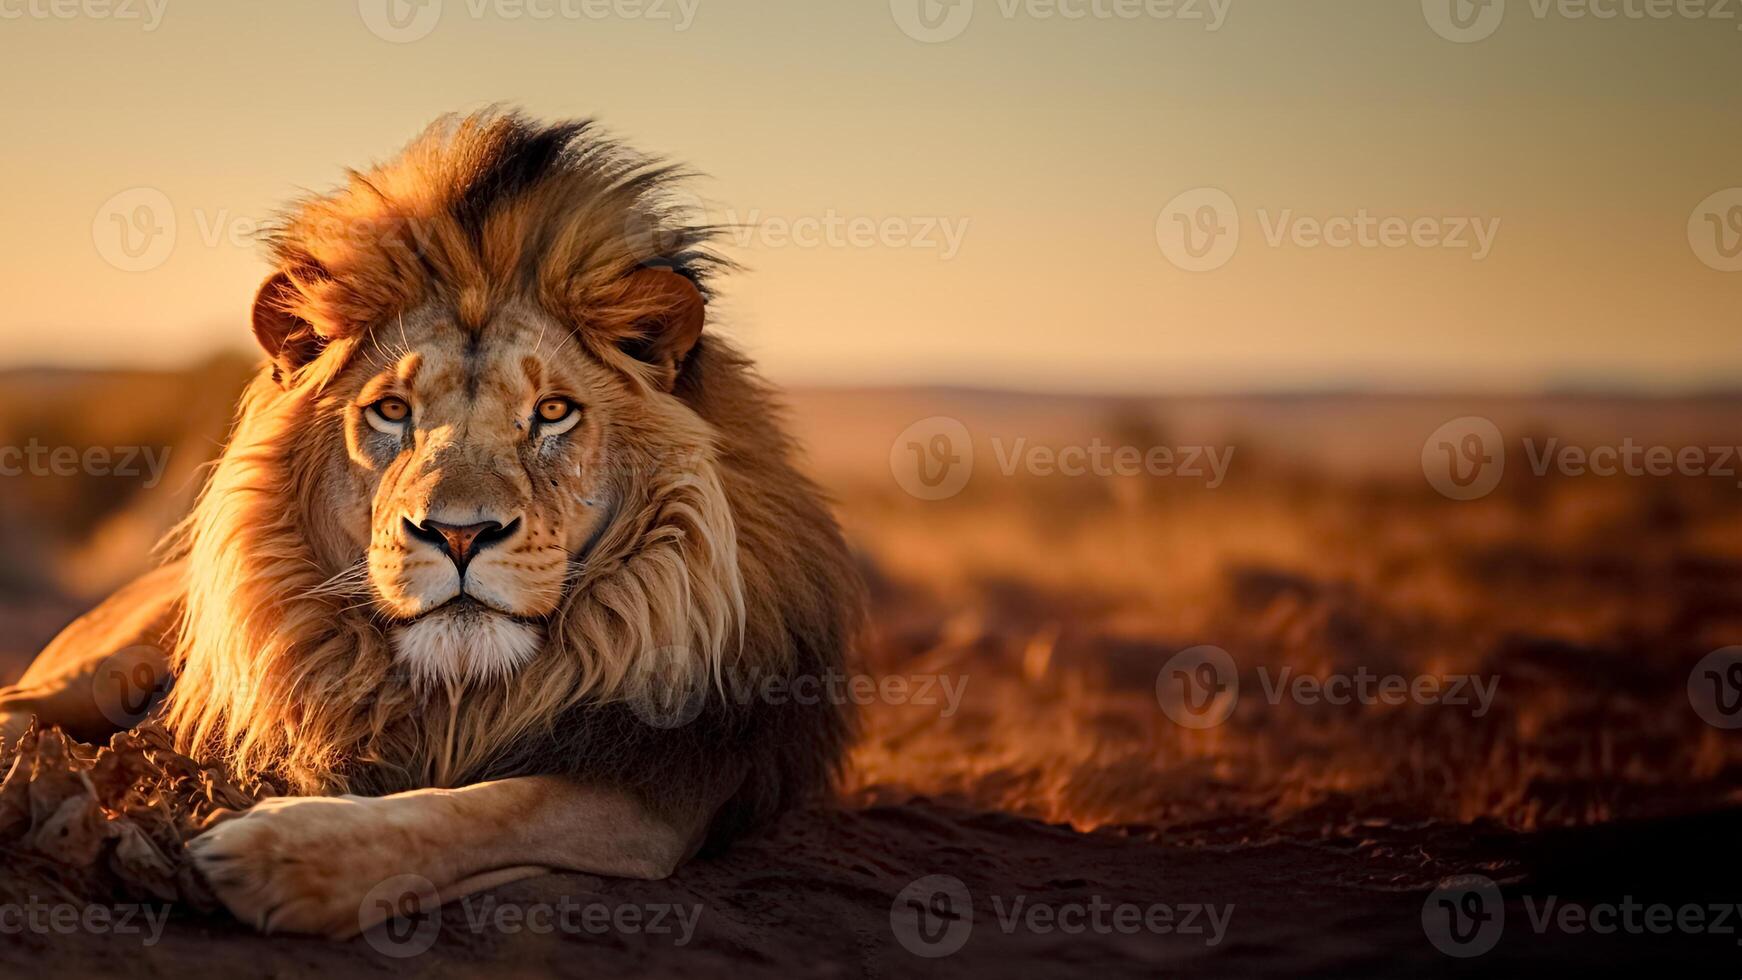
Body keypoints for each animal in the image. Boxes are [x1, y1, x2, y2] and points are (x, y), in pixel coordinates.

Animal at [0, 111, 864, 939]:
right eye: (391, 410)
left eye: (553, 412)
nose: (457, 535)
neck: (459, 698)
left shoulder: (658, 788)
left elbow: (484, 808)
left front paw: (280, 855)